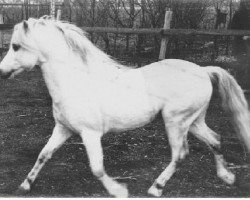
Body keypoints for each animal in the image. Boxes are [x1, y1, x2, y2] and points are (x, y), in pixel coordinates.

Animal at [0, 16, 249, 197]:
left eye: (16, 46)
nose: (2, 72)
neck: (77, 82)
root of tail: (204, 71)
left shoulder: (90, 134)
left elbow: (97, 168)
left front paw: (119, 191)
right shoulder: (63, 129)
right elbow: (43, 155)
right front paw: (25, 185)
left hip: (176, 122)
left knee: (180, 154)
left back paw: (156, 188)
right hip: (194, 121)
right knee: (215, 139)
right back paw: (226, 177)